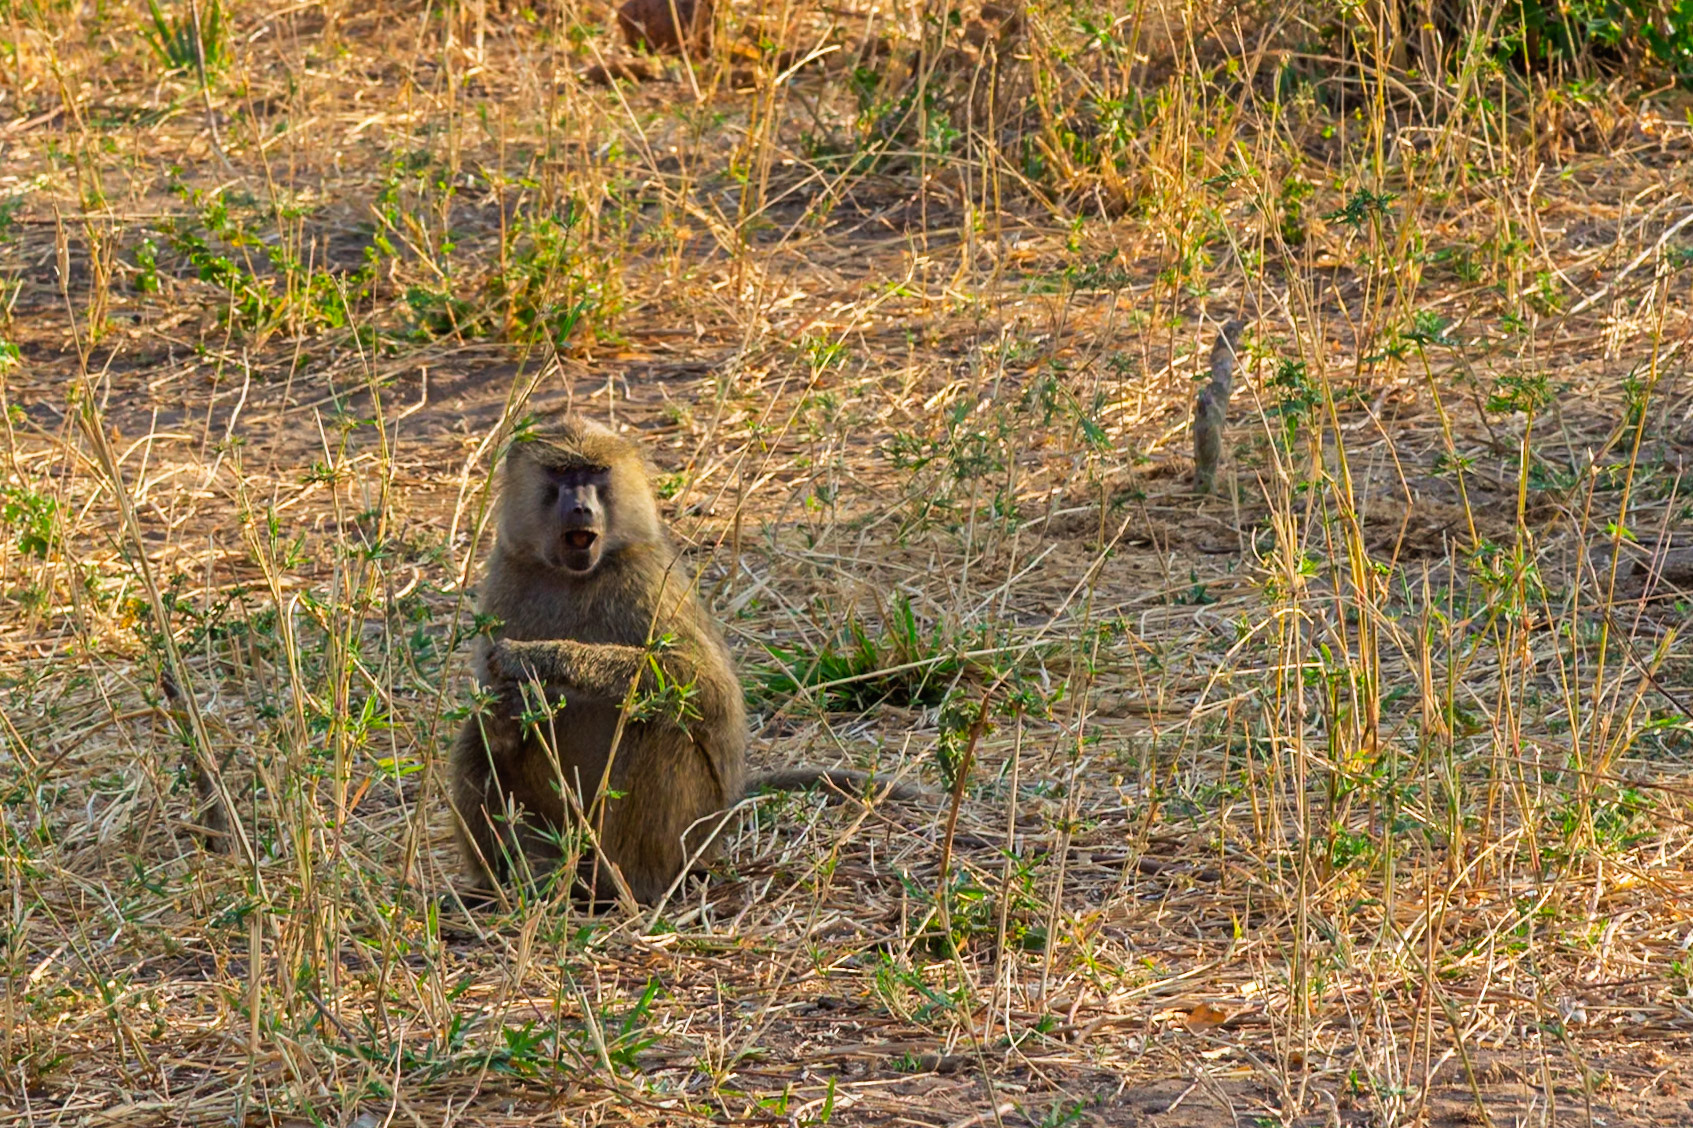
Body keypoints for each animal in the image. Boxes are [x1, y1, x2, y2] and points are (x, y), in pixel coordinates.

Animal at [451, 415, 920, 907]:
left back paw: (625, 885)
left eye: (595, 472)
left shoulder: (646, 582)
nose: (580, 509)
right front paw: (511, 705)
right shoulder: (506, 577)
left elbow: (704, 687)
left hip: (692, 833)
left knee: (659, 725)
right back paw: (509, 884)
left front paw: (539, 659)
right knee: (474, 742)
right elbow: (491, 715)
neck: (573, 576)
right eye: (560, 473)